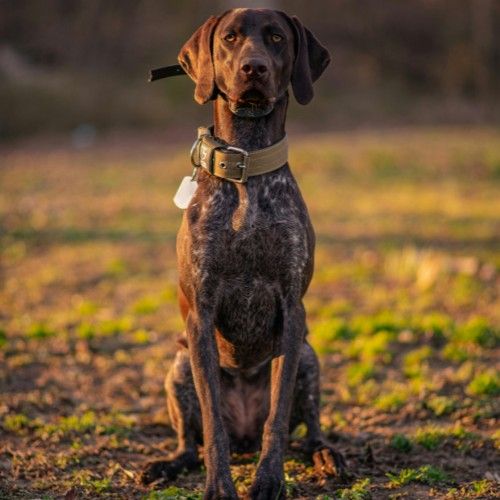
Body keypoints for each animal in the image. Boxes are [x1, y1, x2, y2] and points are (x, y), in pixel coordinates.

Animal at [140, 8, 344, 500]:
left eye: (276, 38)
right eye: (230, 38)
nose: (255, 68)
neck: (247, 161)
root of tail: (245, 436)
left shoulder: (291, 311)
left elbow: (278, 416)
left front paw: (269, 480)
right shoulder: (202, 314)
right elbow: (213, 423)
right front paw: (219, 485)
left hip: (309, 357)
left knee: (309, 430)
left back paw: (326, 455)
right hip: (178, 366)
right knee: (189, 443)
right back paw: (165, 464)